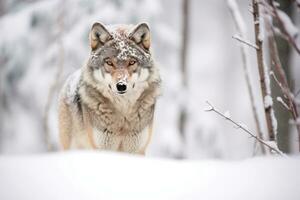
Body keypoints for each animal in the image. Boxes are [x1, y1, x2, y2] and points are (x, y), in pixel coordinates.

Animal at [59, 21, 162, 155]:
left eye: (132, 62)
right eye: (109, 63)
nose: (121, 86)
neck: (123, 113)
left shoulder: (137, 150)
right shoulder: (102, 148)